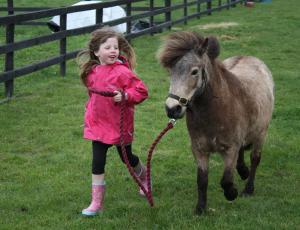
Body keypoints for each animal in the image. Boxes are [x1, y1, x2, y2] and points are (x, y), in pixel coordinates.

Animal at [157, 31, 274, 215]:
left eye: (194, 71)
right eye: (171, 72)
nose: (172, 109)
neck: (214, 112)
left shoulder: (230, 149)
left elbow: (226, 180)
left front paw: (232, 193)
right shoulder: (199, 150)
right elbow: (202, 180)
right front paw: (200, 208)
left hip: (261, 134)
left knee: (255, 158)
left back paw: (248, 188)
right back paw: (243, 171)